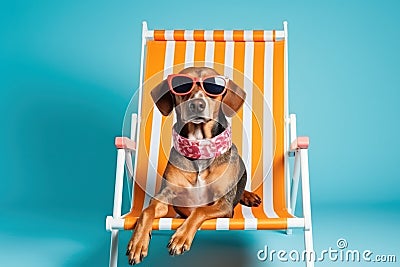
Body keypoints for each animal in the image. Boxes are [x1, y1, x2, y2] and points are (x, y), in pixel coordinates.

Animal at [126, 67, 260, 266]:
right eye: (181, 85)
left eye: (213, 86)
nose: (197, 104)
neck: (199, 147)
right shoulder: (165, 196)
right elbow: (147, 211)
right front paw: (138, 242)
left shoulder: (223, 204)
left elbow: (199, 210)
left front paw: (180, 238)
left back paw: (249, 195)